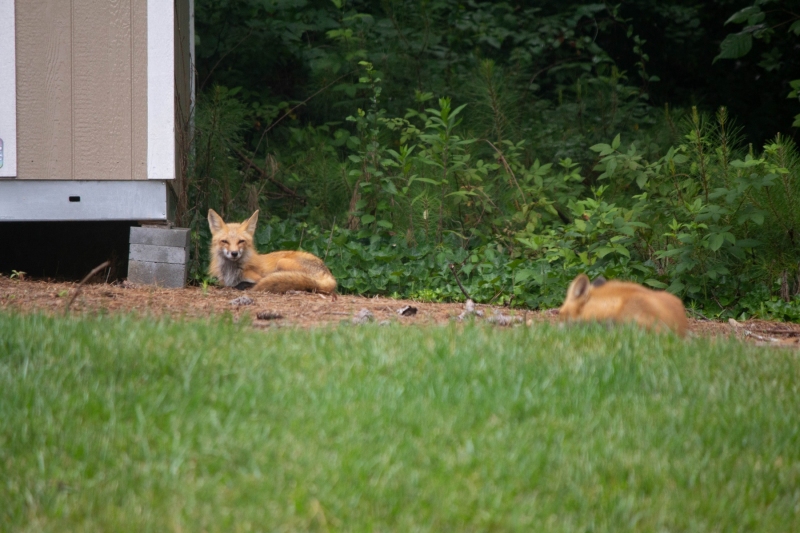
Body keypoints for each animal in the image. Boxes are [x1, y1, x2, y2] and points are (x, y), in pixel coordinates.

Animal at [207, 209, 337, 295]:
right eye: (225, 241)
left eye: (241, 241)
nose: (234, 253)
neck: (232, 271)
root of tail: (329, 275)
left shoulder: (258, 278)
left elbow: (247, 283)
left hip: (282, 262)